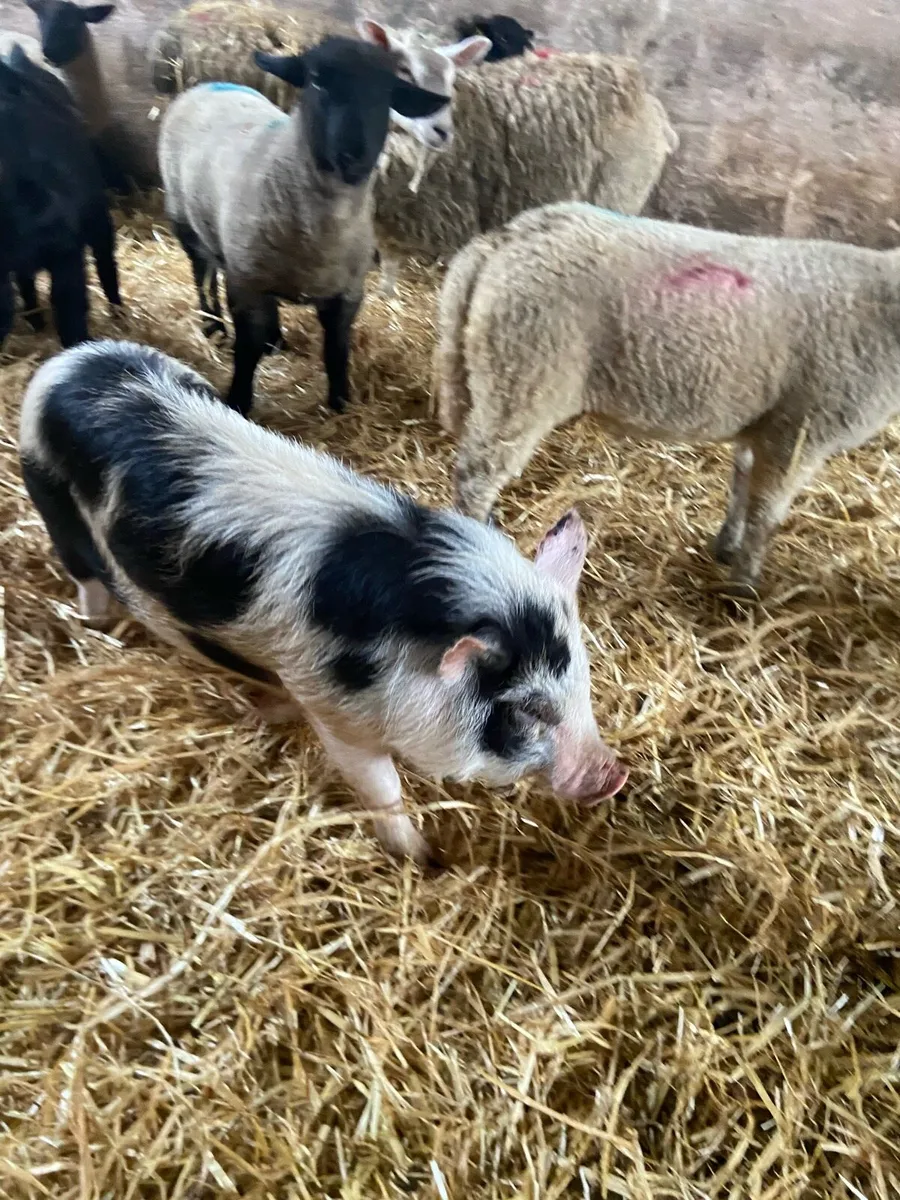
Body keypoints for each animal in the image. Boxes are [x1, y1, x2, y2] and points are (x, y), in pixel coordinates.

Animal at [19, 339, 628, 864]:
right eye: (527, 709)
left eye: (583, 681)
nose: (614, 774)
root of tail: (69, 360)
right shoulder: (338, 713)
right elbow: (381, 786)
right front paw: (425, 858)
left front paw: (268, 711)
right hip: (51, 504)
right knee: (85, 573)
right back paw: (98, 624)